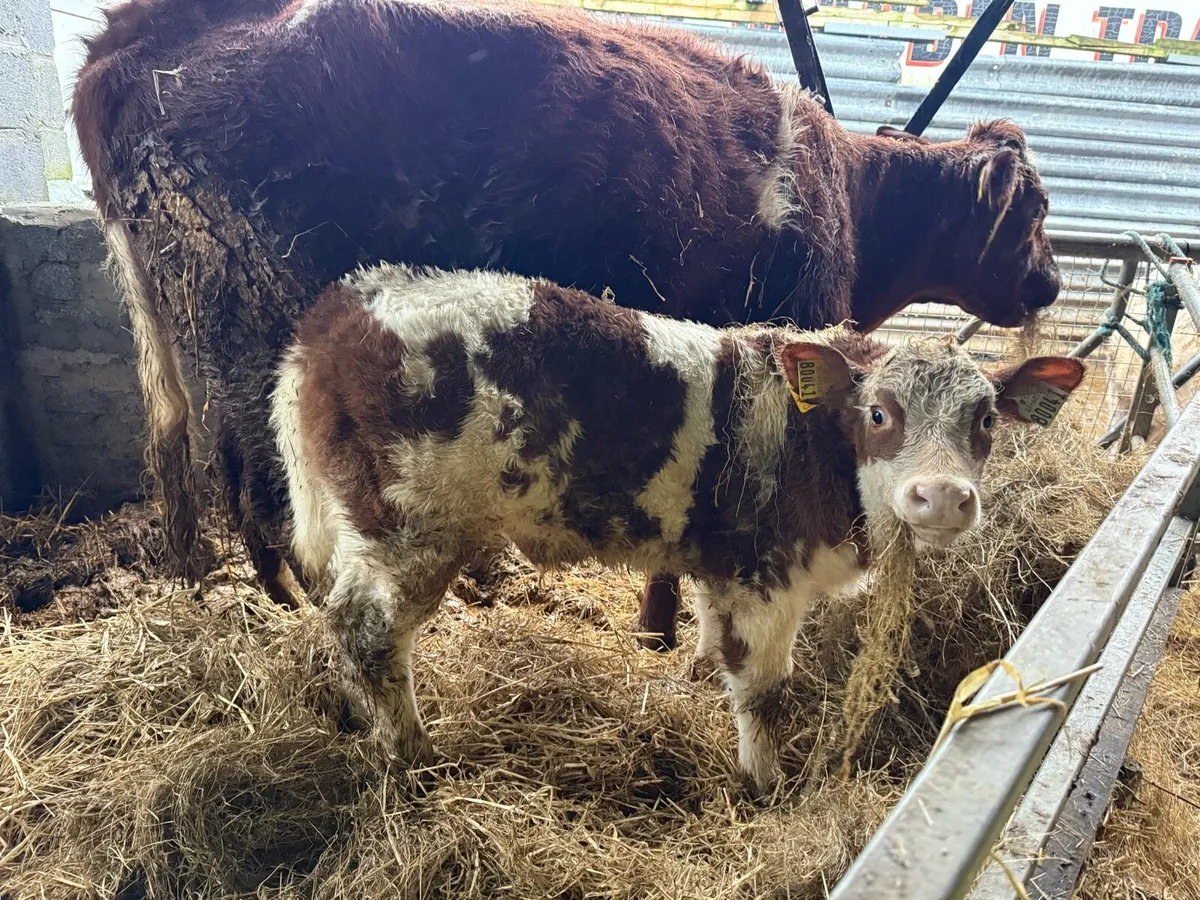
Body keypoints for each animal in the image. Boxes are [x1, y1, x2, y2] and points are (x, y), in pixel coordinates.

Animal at [72, 0, 1062, 630]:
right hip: (258, 327)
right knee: (272, 502)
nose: (1052, 286)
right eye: (1036, 211)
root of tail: (137, 32)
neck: (846, 191)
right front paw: (666, 628)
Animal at [269, 263, 1085, 788]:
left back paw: (355, 719)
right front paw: (767, 783)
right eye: (879, 414)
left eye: (986, 420)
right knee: (367, 630)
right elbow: (762, 689)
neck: (818, 444)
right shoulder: (766, 579)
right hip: (411, 531)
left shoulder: (724, 568)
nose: (941, 497)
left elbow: (709, 635)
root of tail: (343, 308)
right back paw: (412, 756)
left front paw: (693, 675)